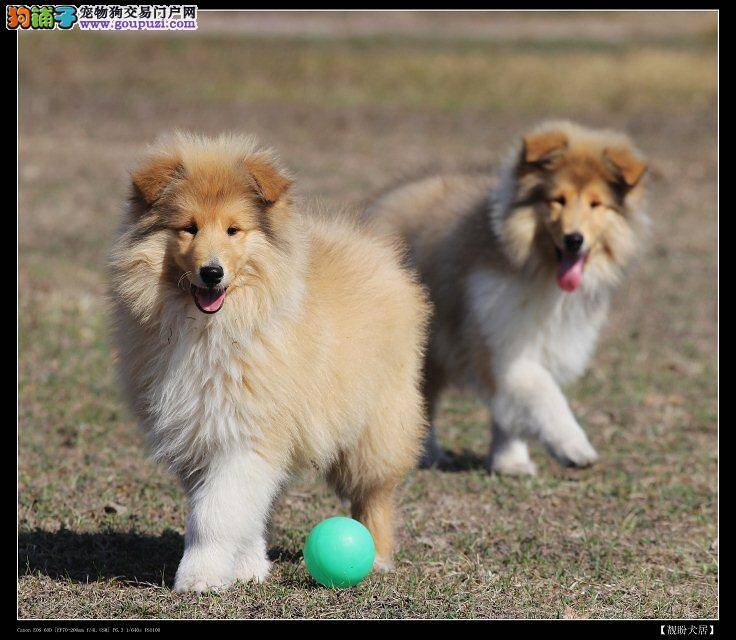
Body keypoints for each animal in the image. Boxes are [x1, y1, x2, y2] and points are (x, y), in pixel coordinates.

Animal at [111, 132, 428, 592]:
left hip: (376, 425)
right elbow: (235, 507)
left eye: (233, 230)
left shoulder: (247, 430)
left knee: (374, 492)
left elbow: (214, 514)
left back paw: (380, 556)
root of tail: (374, 249)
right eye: (188, 228)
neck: (213, 327)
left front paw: (199, 576)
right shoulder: (201, 431)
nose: (211, 272)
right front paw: (247, 568)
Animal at [366, 121, 648, 476]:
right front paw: (575, 447)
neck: (537, 268)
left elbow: (508, 412)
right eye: (558, 200)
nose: (574, 240)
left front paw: (510, 462)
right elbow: (544, 394)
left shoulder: (547, 342)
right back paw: (425, 453)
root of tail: (386, 200)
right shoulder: (502, 342)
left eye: (595, 204)